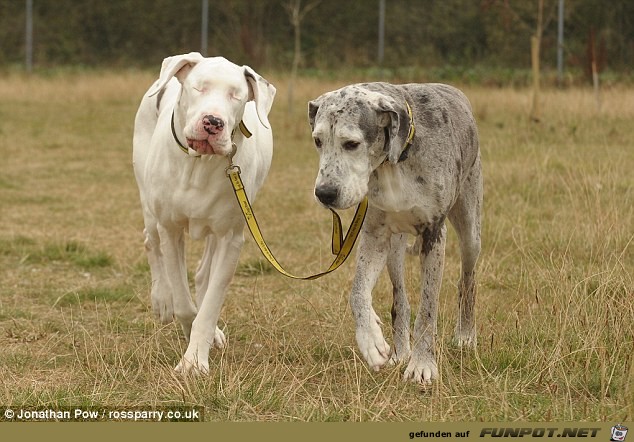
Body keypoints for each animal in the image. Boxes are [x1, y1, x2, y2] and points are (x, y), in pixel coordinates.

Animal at [131, 53, 274, 374]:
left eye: (236, 95)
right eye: (199, 88)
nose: (213, 122)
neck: (199, 163)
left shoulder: (231, 238)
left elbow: (210, 303)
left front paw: (195, 358)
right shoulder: (170, 229)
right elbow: (184, 302)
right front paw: (184, 325)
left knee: (203, 273)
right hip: (148, 203)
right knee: (150, 241)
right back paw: (161, 299)